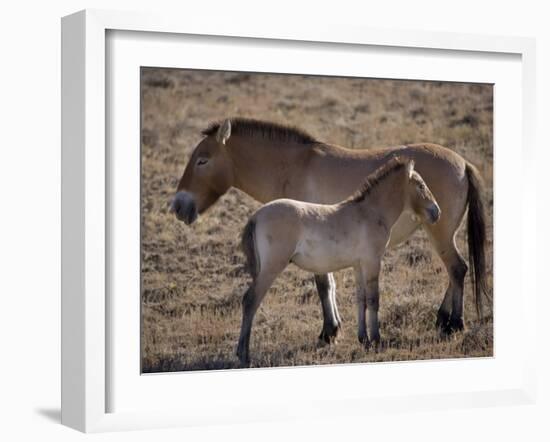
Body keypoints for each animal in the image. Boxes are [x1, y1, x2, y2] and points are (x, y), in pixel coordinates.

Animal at [170, 116, 490, 338]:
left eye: (202, 161)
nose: (177, 207)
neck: (293, 167)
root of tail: (463, 163)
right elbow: (331, 284)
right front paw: (337, 327)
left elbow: (324, 284)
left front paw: (329, 331)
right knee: (455, 271)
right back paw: (442, 318)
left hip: (440, 232)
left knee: (457, 269)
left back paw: (454, 323)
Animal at [238, 157, 444, 364]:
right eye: (421, 185)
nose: (437, 212)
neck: (370, 212)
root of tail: (256, 216)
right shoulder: (372, 262)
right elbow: (373, 299)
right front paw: (376, 340)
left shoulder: (358, 265)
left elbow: (361, 299)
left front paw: (363, 339)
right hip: (271, 268)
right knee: (250, 301)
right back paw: (243, 355)